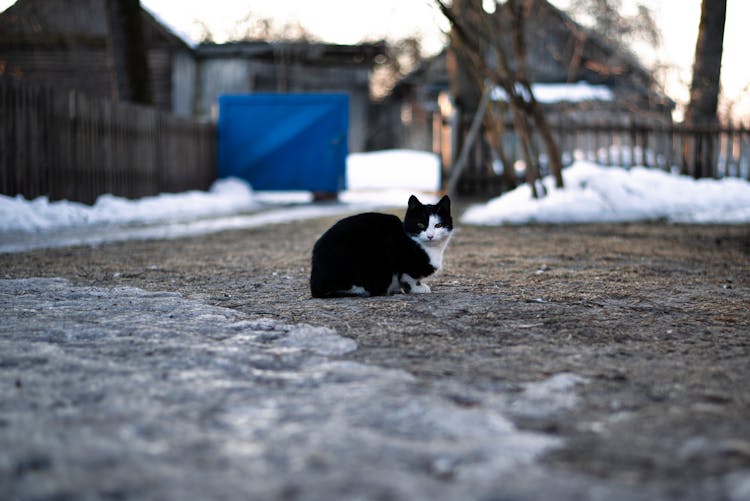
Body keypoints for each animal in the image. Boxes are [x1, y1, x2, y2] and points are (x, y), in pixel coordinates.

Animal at [310, 194, 456, 296]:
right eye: (420, 224)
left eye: (438, 225)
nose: (430, 236)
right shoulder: (403, 262)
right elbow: (409, 277)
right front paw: (417, 288)